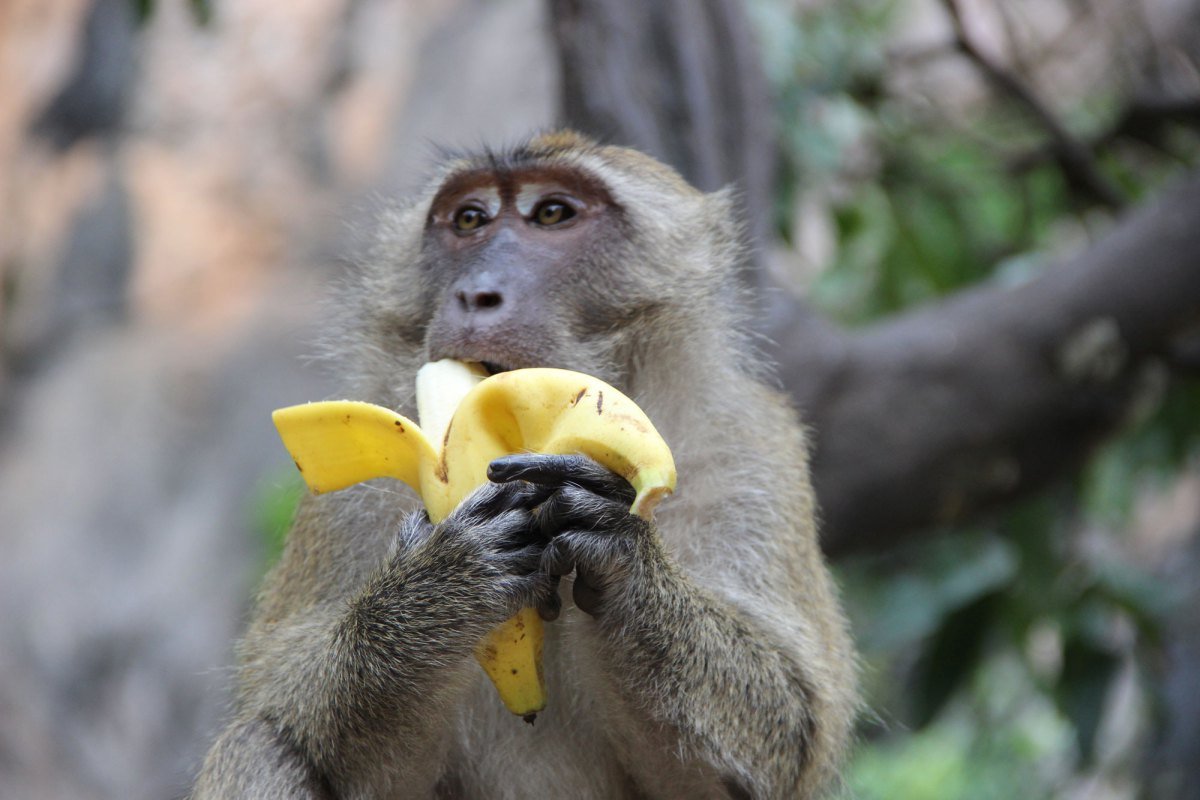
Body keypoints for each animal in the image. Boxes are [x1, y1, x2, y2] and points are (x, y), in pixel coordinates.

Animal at [192, 131, 859, 800]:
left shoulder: (747, 446)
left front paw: (620, 549)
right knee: (259, 744)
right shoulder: (345, 504)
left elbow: (787, 723)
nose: (475, 292)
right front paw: (435, 588)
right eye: (469, 219)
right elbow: (305, 726)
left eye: (553, 214)